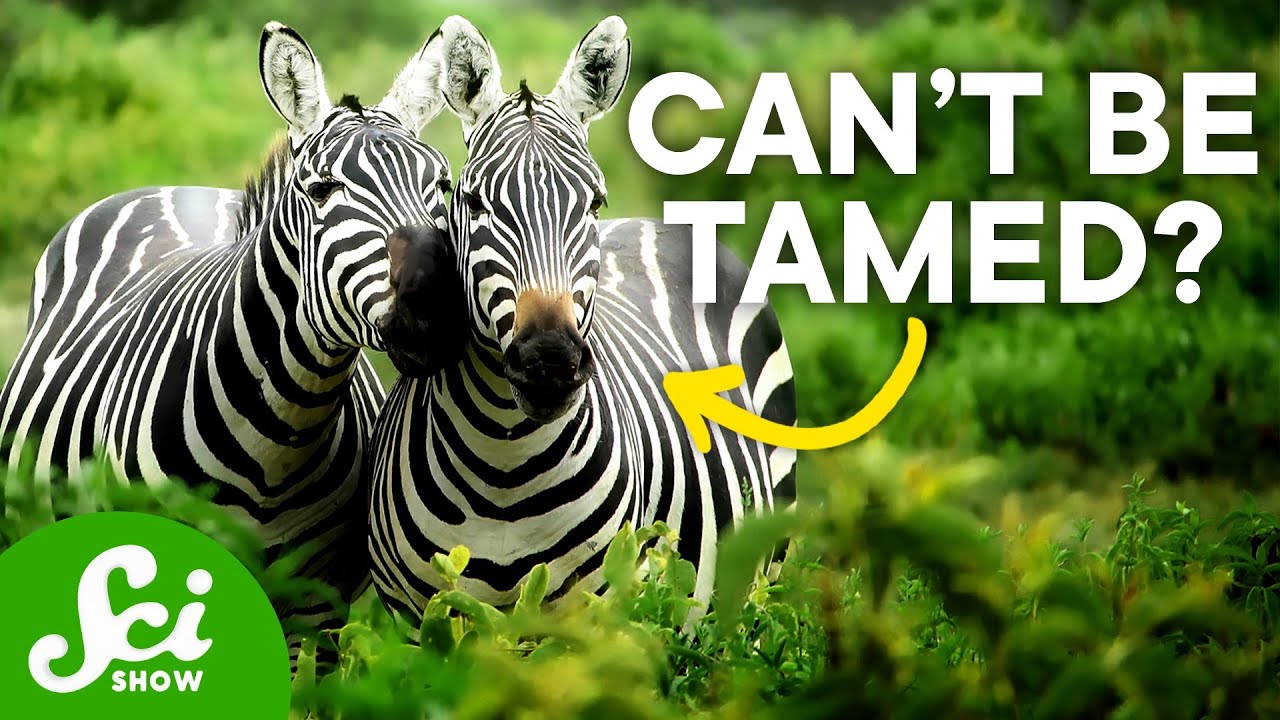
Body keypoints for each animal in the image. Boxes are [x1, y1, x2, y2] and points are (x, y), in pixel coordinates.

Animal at [0, 21, 466, 664]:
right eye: (322, 190)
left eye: (441, 186)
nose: (437, 312)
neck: (280, 436)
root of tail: (175, 186)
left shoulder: (315, 604)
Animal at [368, 16, 797, 621]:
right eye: (473, 202)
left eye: (594, 203)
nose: (549, 362)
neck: (503, 467)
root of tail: (656, 222)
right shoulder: (421, 621)